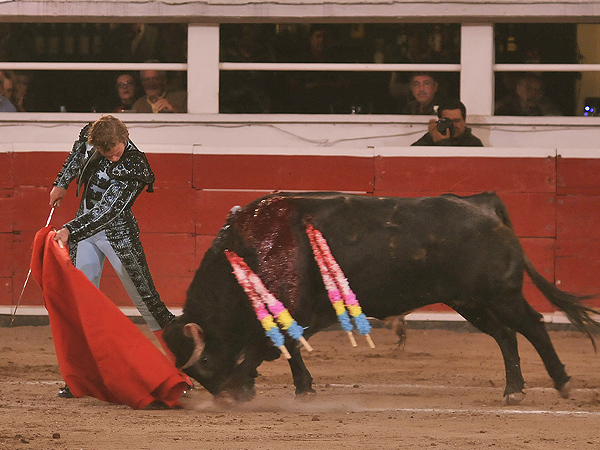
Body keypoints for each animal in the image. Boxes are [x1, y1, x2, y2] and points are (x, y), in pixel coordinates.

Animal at [162, 190, 596, 404]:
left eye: (205, 364)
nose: (227, 395)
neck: (249, 252)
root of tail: (483, 203)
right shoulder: (302, 315)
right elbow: (289, 349)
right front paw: (302, 388)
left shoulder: (293, 309)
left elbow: (267, 347)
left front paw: (241, 382)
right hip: (470, 302)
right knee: (506, 336)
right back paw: (513, 390)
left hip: (500, 294)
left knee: (533, 326)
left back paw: (562, 383)